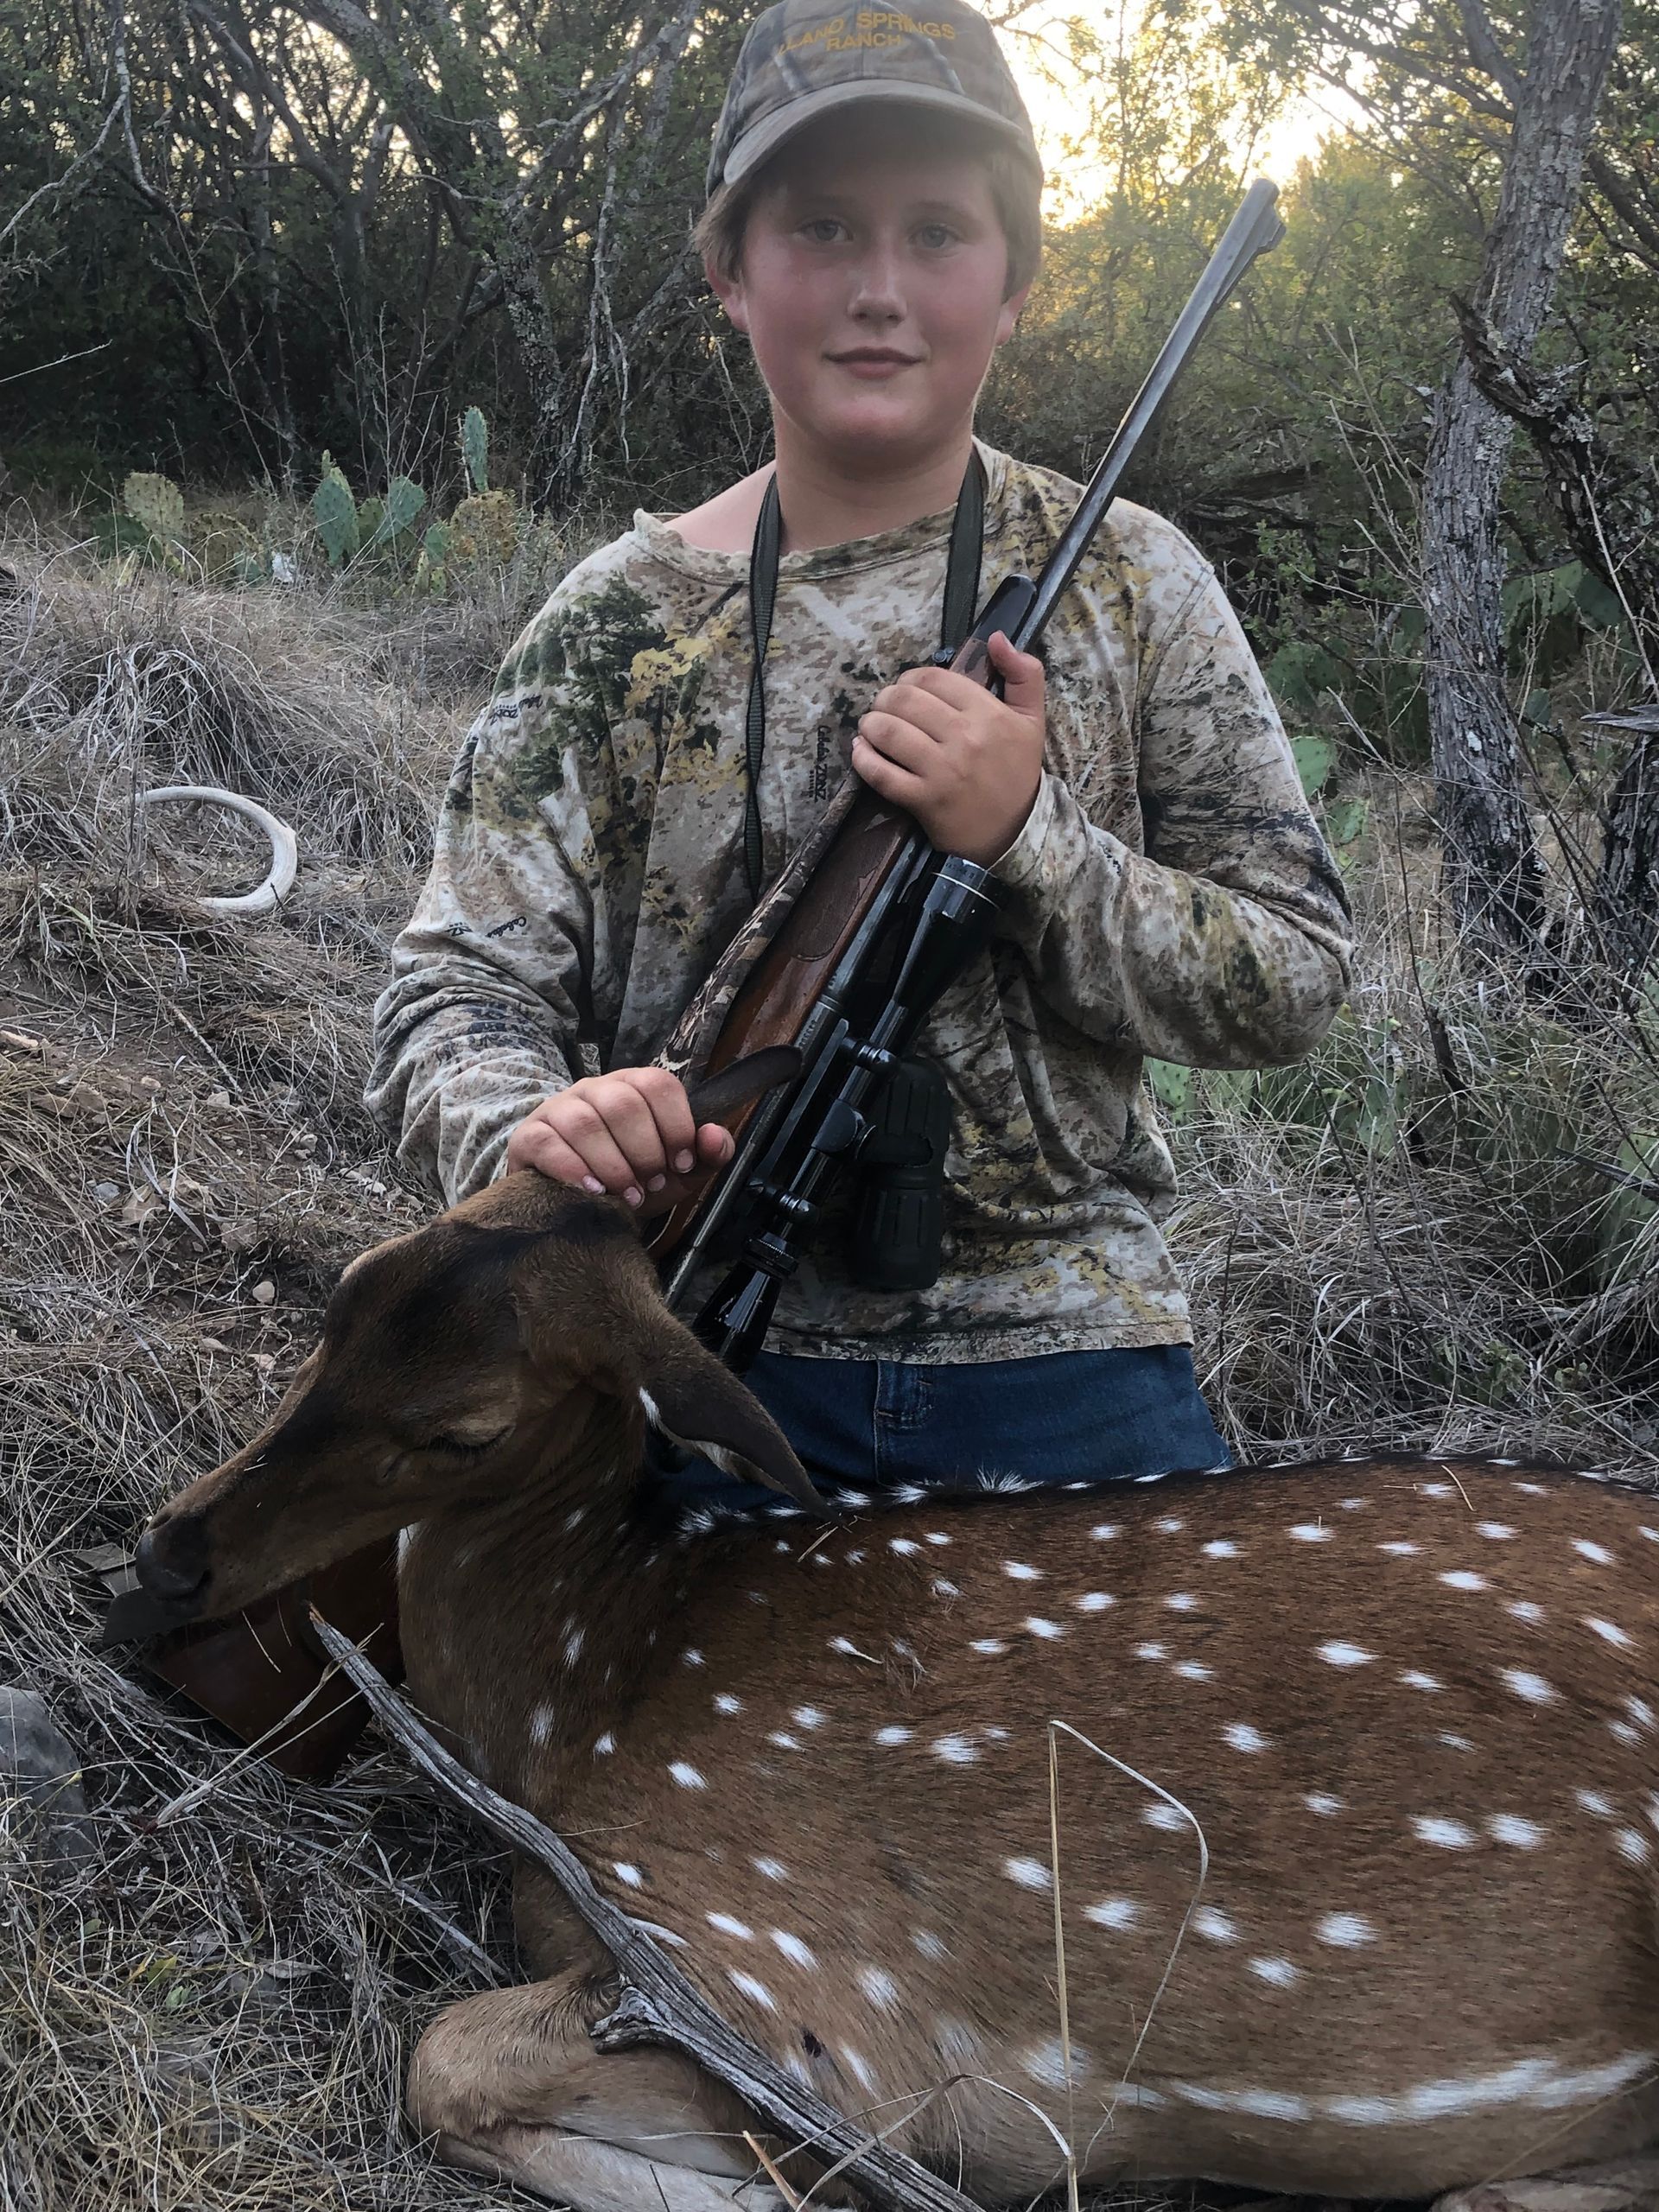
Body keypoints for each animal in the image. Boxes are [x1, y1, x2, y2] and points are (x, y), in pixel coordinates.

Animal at [126, 1158, 1659, 2212]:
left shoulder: (797, 1983)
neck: (578, 1703)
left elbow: (441, 2057)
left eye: (463, 1429)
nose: (171, 1554)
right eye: (345, 1288)